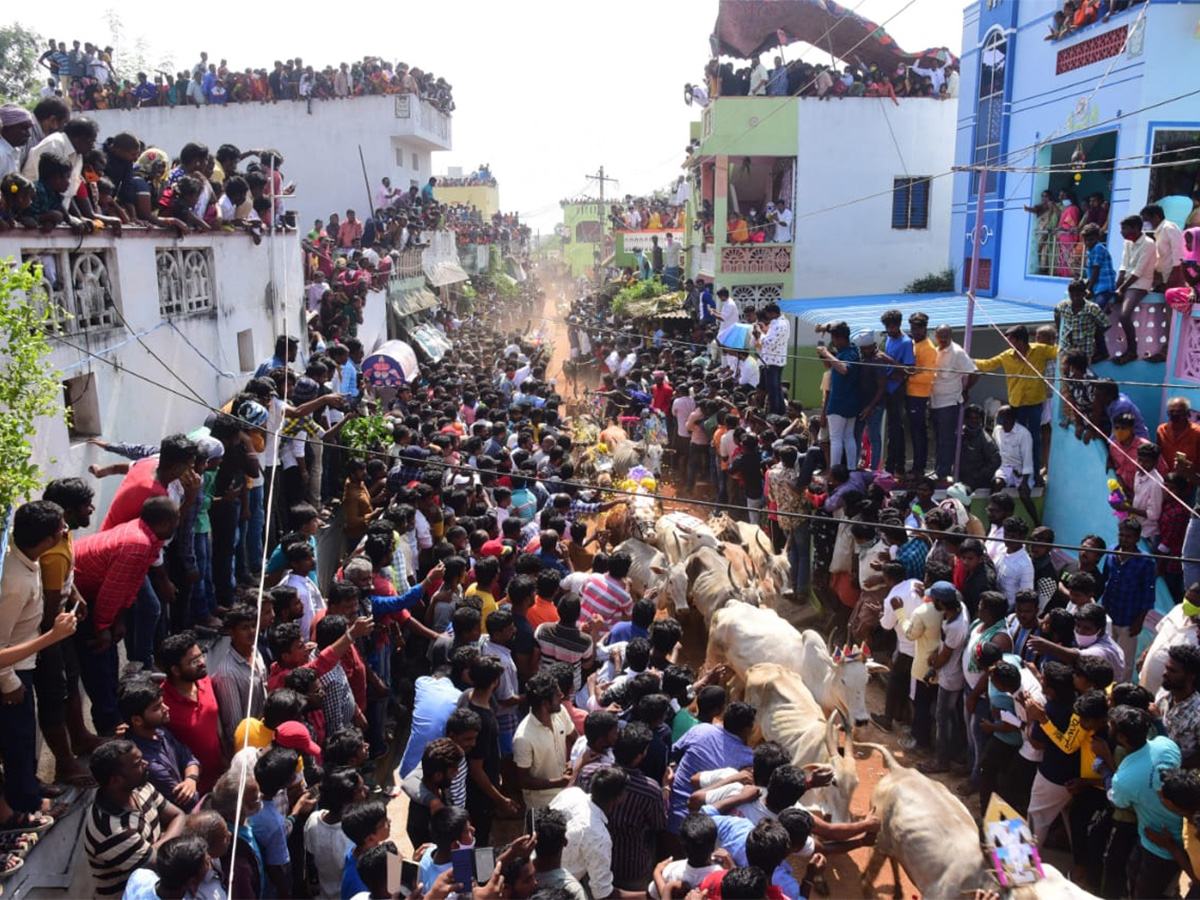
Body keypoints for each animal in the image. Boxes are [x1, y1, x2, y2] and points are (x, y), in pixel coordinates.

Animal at [705, 602, 888, 729]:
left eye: (867, 679)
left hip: (742, 671)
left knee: (733, 688)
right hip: (713, 655)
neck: (822, 682)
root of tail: (731, 605)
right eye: (843, 681)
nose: (862, 720)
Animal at [859, 744, 988, 900]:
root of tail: (899, 770)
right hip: (880, 837)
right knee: (867, 877)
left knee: (893, 858)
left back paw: (898, 893)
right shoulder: (939, 893)